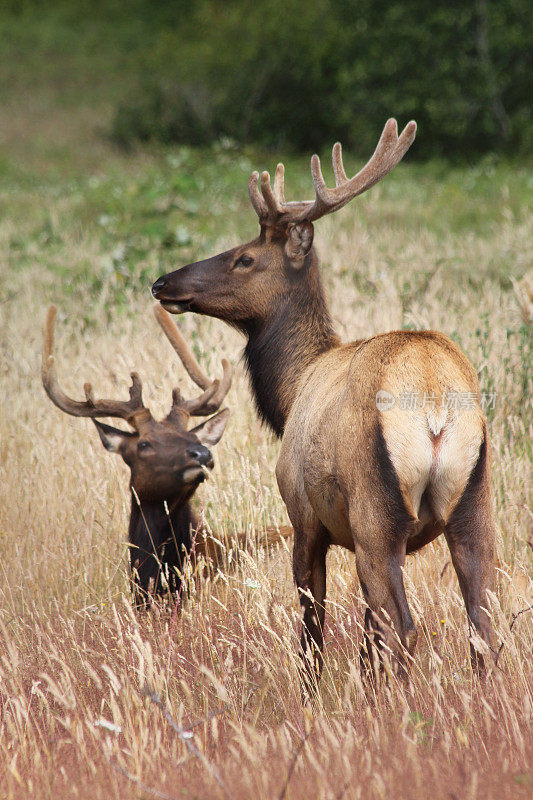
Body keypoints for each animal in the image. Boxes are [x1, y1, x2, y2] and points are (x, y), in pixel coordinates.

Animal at [152, 120, 496, 692]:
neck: (291, 392)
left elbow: (313, 626)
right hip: (475, 498)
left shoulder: (305, 515)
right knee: (484, 622)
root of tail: (434, 405)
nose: (163, 282)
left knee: (403, 627)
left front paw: (312, 696)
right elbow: (364, 635)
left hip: (376, 510)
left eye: (245, 257)